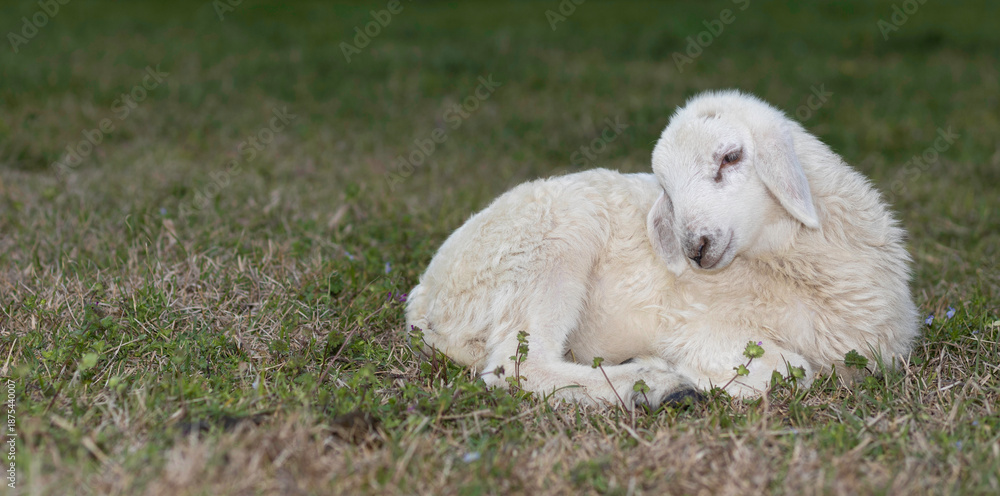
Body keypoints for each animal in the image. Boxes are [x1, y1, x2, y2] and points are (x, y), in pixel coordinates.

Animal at [405, 90, 919, 408]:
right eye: (667, 190)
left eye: (731, 156)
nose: (696, 248)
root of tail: (425, 300)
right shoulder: (695, 325)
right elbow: (791, 371)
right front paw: (680, 371)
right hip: (546, 246)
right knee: (516, 368)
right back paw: (657, 387)